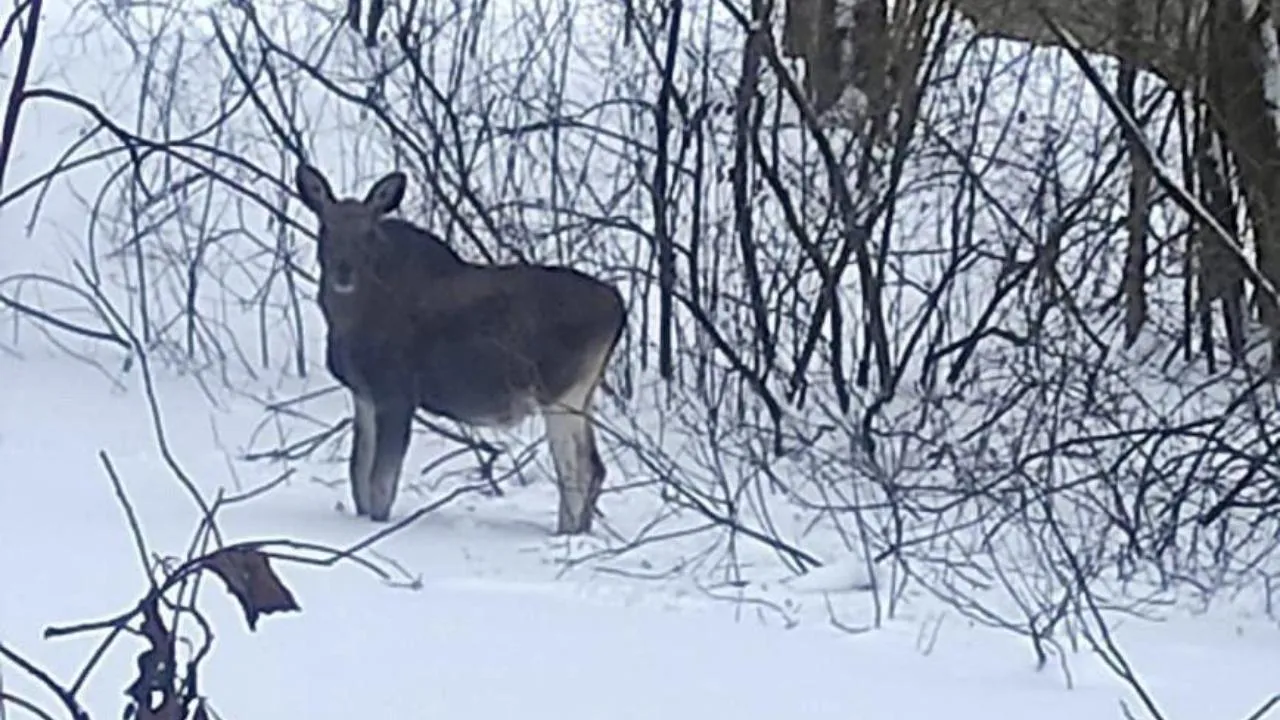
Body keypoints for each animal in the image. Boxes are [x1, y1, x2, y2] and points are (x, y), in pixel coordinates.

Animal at [294, 162, 624, 532]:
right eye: (326, 226)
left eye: (368, 232)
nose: (344, 271)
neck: (349, 322)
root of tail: (618, 307)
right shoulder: (363, 393)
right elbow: (357, 475)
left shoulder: (397, 392)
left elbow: (381, 483)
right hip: (583, 393)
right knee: (596, 467)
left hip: (560, 393)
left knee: (577, 472)